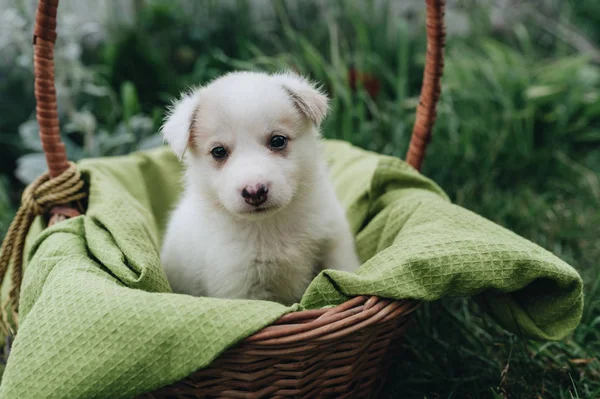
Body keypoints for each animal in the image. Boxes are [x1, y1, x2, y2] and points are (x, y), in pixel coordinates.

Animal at [158, 71, 360, 306]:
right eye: (218, 151)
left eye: (278, 140)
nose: (254, 191)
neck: (272, 225)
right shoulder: (241, 283)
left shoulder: (334, 245)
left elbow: (343, 271)